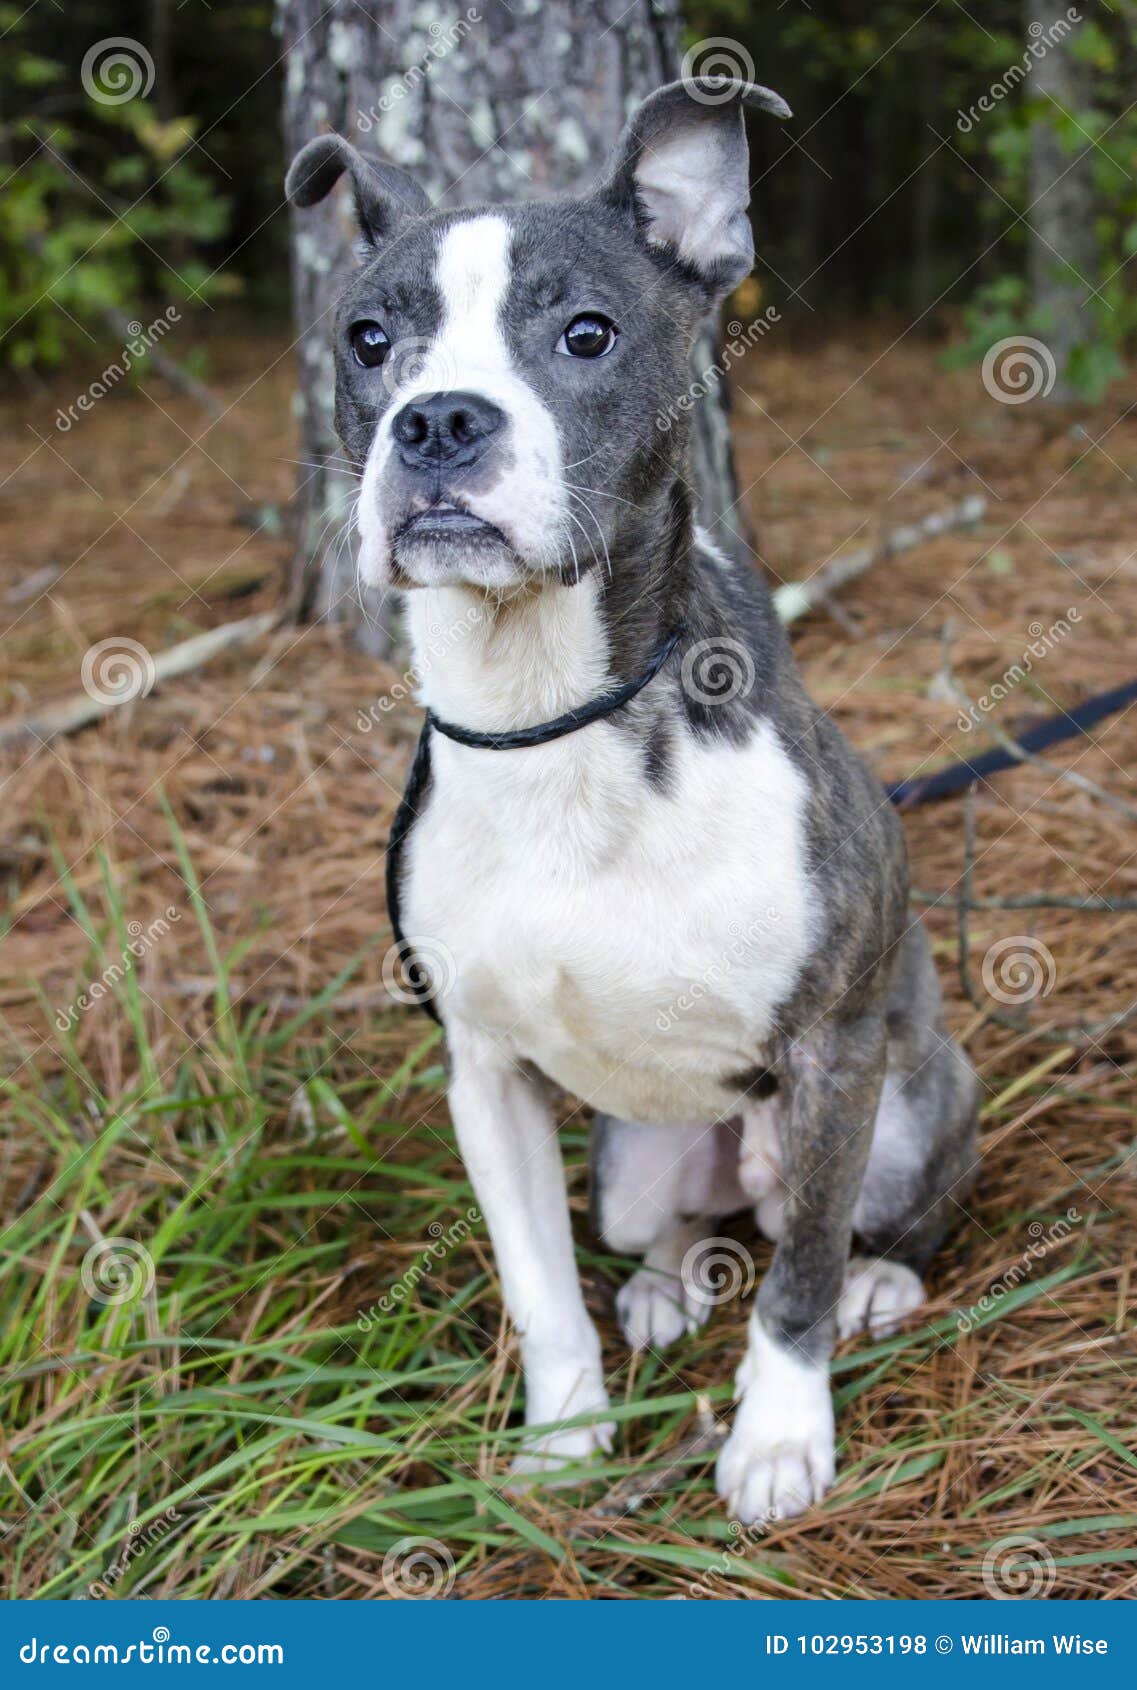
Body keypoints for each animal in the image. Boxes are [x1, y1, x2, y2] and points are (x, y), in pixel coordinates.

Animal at [288, 79, 979, 1527]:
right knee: (672, 1227)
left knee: (857, 1222)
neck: (550, 708)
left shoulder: (833, 1051)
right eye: (371, 340)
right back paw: (666, 1283)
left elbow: (798, 1278)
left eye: (587, 334)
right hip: (629, 1159)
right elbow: (540, 1287)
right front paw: (562, 1441)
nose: (437, 420)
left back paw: (884, 1279)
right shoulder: (484, 1073)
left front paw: (778, 1438)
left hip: (909, 1104)